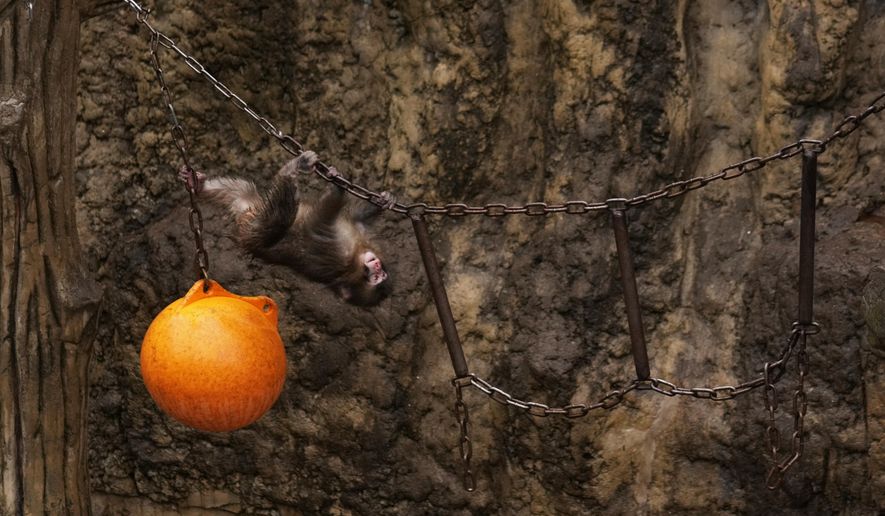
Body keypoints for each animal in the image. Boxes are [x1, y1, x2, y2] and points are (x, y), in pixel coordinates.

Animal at [180, 151, 393, 307]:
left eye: (378, 277)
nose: (378, 267)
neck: (357, 256)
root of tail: (245, 215)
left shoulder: (340, 254)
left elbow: (320, 220)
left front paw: (337, 188)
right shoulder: (357, 236)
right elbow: (356, 216)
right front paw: (384, 201)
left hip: (255, 228)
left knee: (279, 218)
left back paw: (291, 170)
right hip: (253, 207)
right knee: (240, 189)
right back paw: (197, 184)